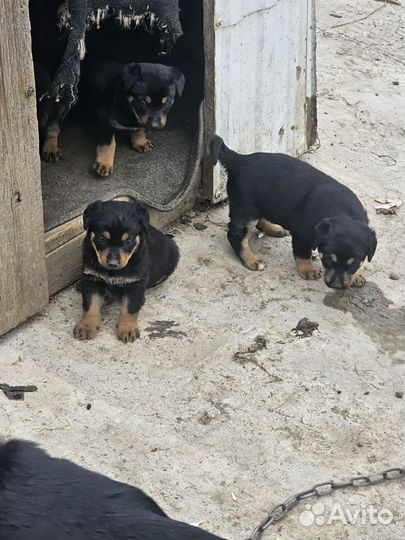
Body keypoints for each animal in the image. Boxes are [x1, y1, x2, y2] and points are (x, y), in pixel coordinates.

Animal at [74, 198, 178, 342]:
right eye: (102, 239)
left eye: (128, 241)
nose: (113, 263)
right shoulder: (92, 278)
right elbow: (90, 306)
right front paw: (86, 326)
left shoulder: (136, 282)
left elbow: (129, 308)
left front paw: (128, 329)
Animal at [210, 135, 378, 288]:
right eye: (329, 259)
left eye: (353, 264)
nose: (336, 286)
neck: (343, 212)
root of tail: (239, 160)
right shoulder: (303, 233)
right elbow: (303, 253)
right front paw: (308, 270)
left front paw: (358, 274)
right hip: (246, 209)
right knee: (235, 236)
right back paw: (252, 260)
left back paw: (274, 228)